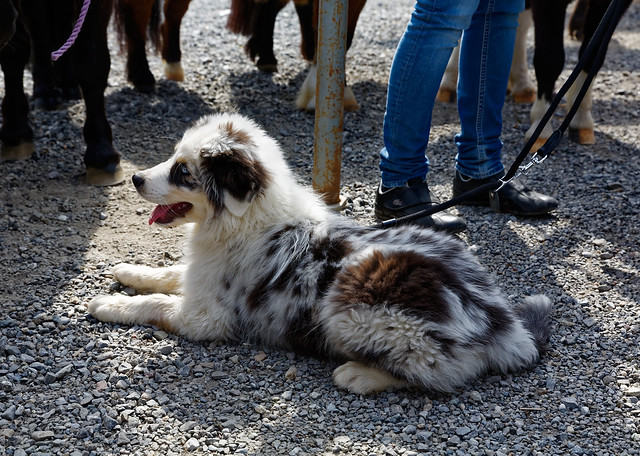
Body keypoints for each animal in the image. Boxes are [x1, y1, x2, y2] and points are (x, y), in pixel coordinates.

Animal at [87, 112, 552, 394]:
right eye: (172, 160)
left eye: (183, 172)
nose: (136, 179)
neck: (246, 221)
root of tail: (502, 324)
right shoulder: (199, 275)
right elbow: (168, 274)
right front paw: (127, 270)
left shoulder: (206, 318)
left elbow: (155, 303)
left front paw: (108, 303)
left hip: (353, 306)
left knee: (442, 372)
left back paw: (359, 374)